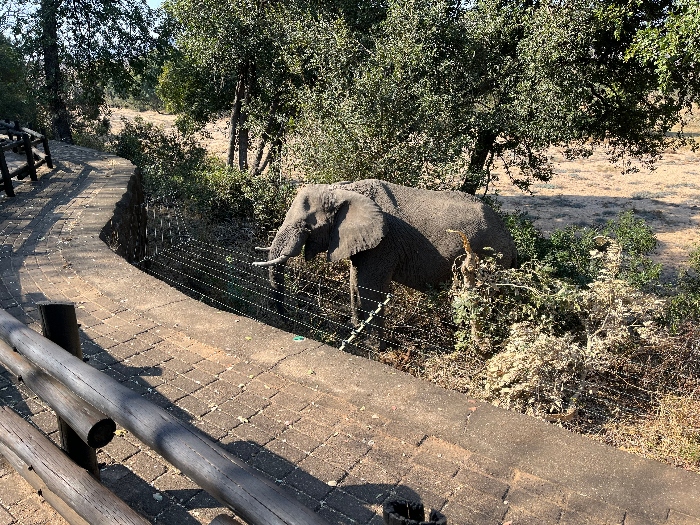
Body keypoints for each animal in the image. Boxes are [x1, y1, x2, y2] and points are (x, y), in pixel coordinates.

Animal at [254, 180, 516, 334]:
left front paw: (374, 347)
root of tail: (511, 240)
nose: (286, 320)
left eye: (306, 227)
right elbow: (355, 283)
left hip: (490, 259)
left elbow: (369, 288)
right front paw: (356, 330)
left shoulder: (384, 243)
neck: (343, 189)